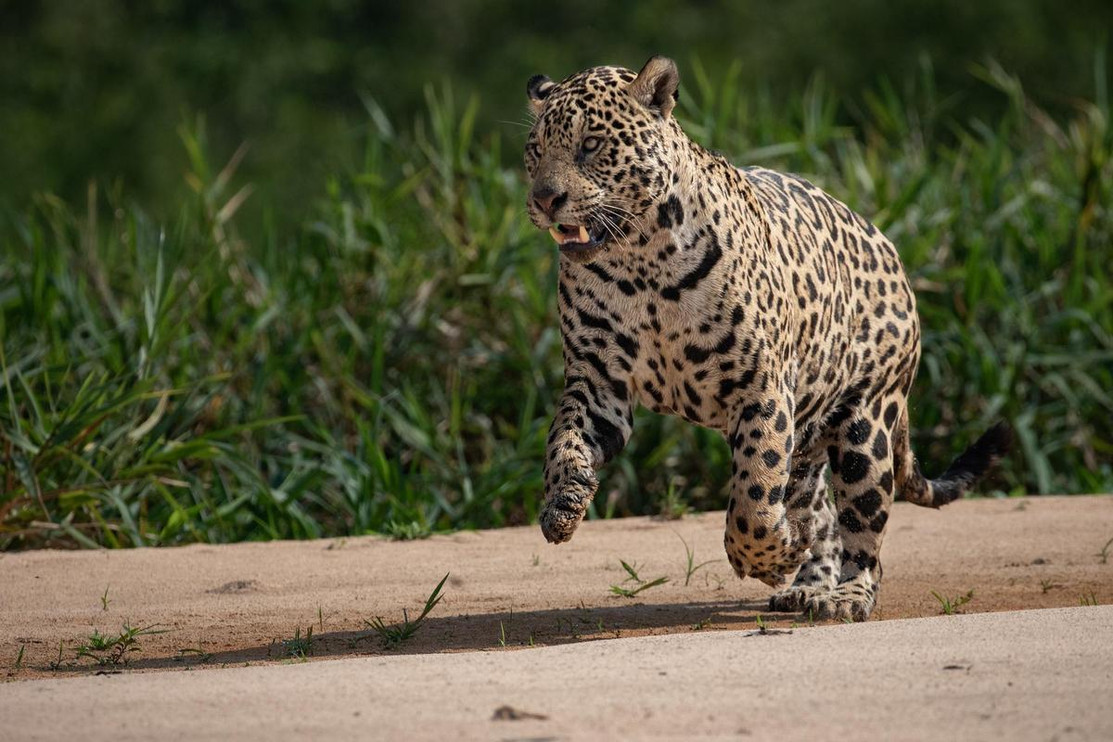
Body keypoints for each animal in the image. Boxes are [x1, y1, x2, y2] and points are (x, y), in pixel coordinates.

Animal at [523, 56, 1010, 621]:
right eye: (535, 151)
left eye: (591, 144)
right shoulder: (599, 383)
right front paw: (563, 502)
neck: (638, 264)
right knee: (818, 508)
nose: (545, 199)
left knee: (863, 531)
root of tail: (890, 250)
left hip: (866, 426)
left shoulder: (762, 389)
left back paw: (844, 595)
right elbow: (564, 441)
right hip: (809, 433)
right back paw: (808, 583)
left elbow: (753, 498)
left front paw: (770, 554)